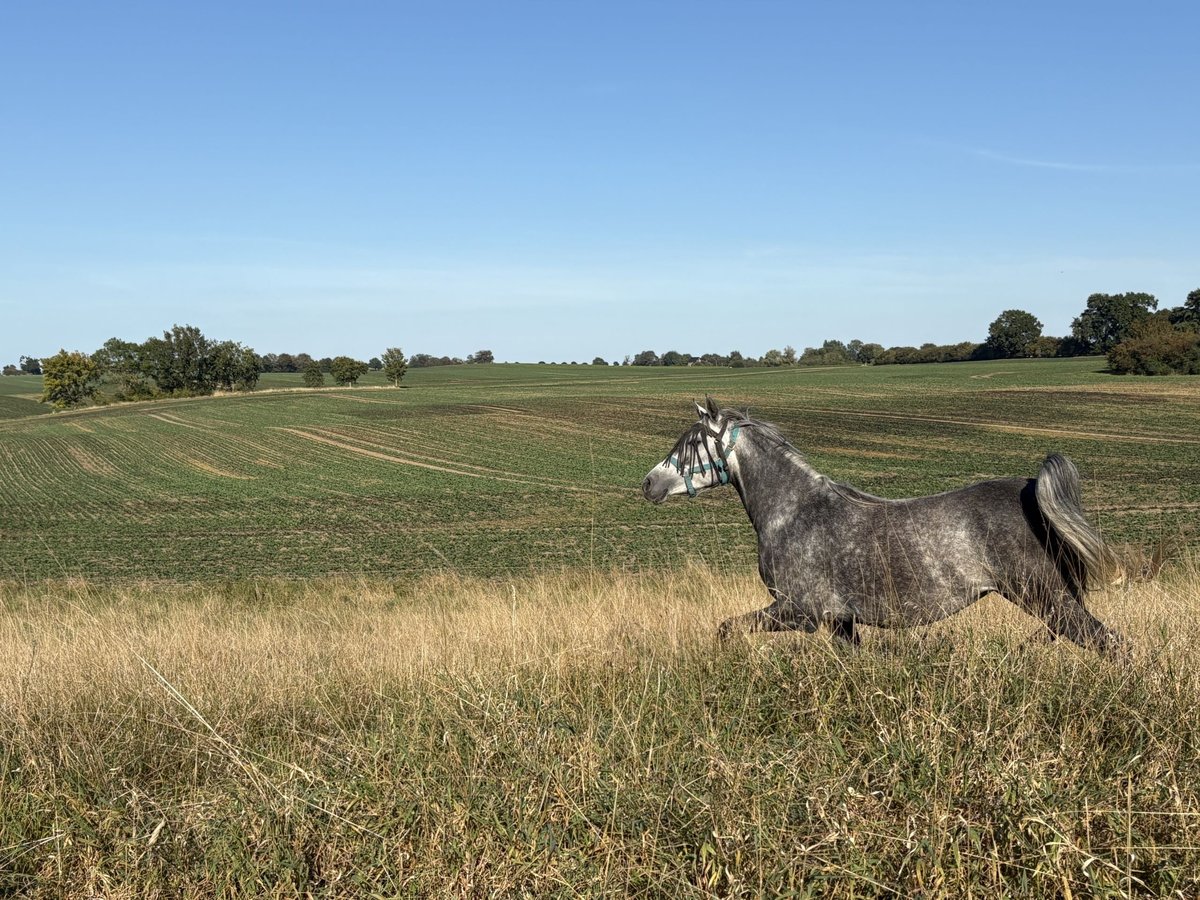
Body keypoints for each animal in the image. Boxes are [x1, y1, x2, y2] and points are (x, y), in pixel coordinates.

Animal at [641, 397, 1127, 657]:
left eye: (689, 444)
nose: (648, 483)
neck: (793, 512)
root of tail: (1030, 490)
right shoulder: (839, 622)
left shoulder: (798, 612)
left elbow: (726, 630)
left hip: (1045, 597)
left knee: (1112, 644)